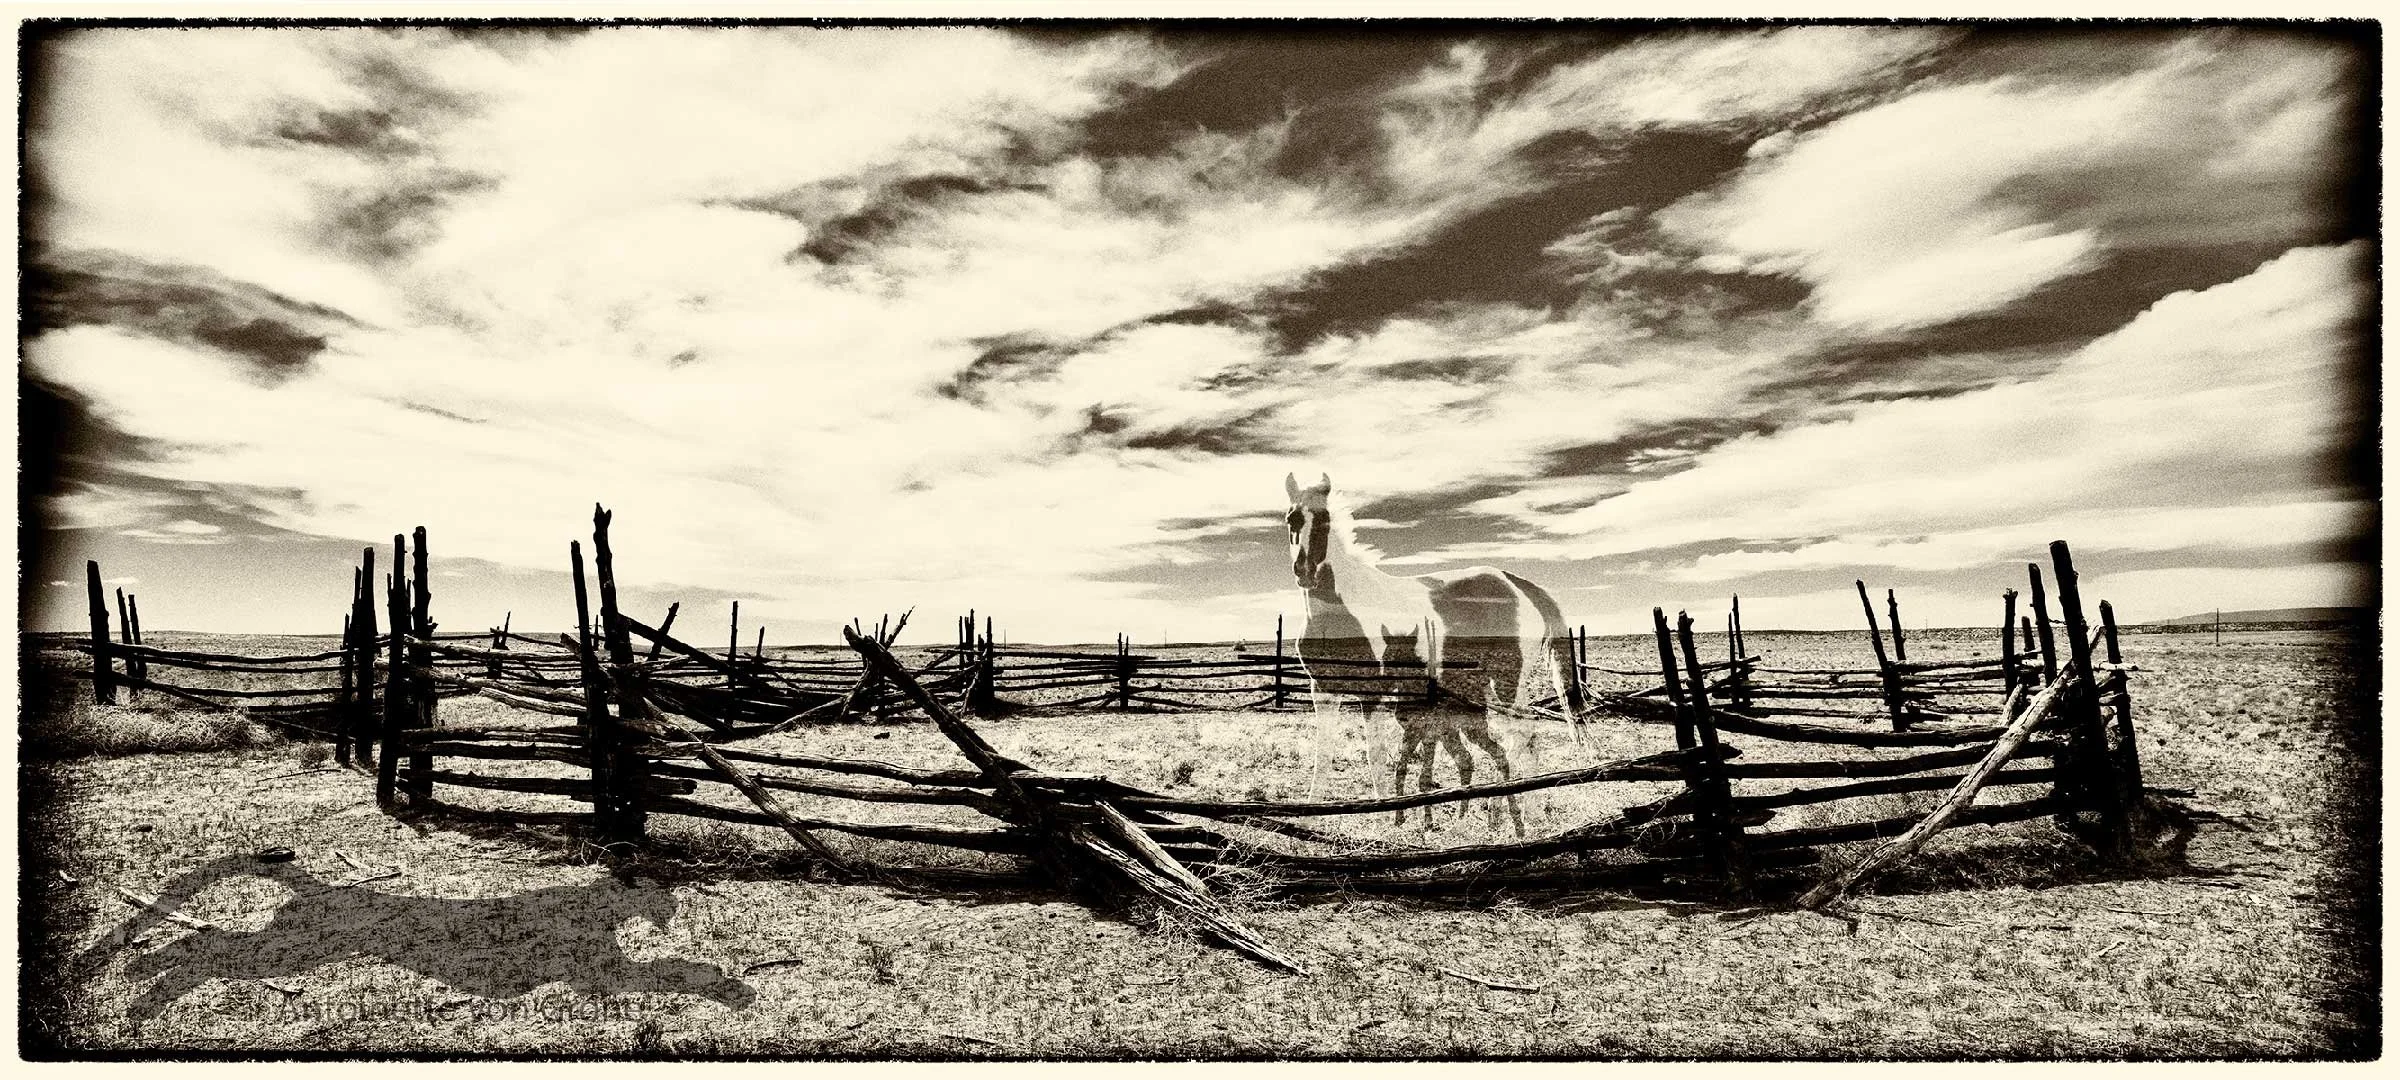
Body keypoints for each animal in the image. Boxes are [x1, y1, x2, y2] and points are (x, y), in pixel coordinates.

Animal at [1283, 473, 1576, 834]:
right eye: (1292, 519)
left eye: (1324, 520)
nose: (1305, 571)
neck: (1338, 612)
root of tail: (1517, 584)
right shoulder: (1322, 691)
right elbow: (1323, 755)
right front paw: (1312, 815)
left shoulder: (1373, 692)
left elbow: (1375, 754)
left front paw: (1385, 819)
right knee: (1521, 737)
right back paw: (1518, 813)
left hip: (1509, 681)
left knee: (1521, 734)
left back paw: (1512, 814)